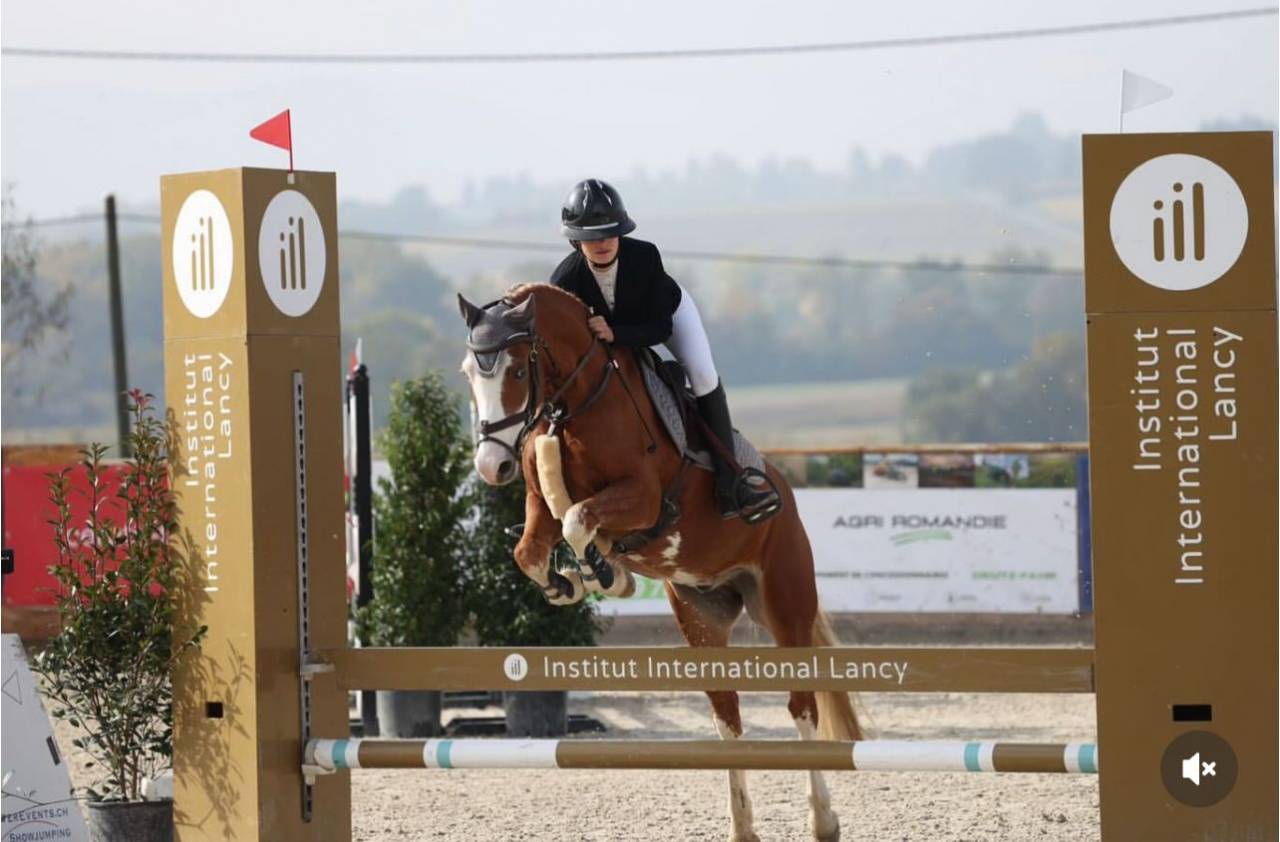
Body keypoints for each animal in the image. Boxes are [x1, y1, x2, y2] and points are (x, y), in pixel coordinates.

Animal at [459, 283, 861, 842]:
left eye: (517, 372)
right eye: (469, 373)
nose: (491, 466)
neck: (577, 403)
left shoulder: (643, 499)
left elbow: (579, 519)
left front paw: (607, 575)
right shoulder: (539, 505)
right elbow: (534, 546)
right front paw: (571, 583)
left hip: (784, 605)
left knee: (802, 707)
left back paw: (822, 819)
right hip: (701, 616)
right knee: (727, 716)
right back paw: (742, 826)